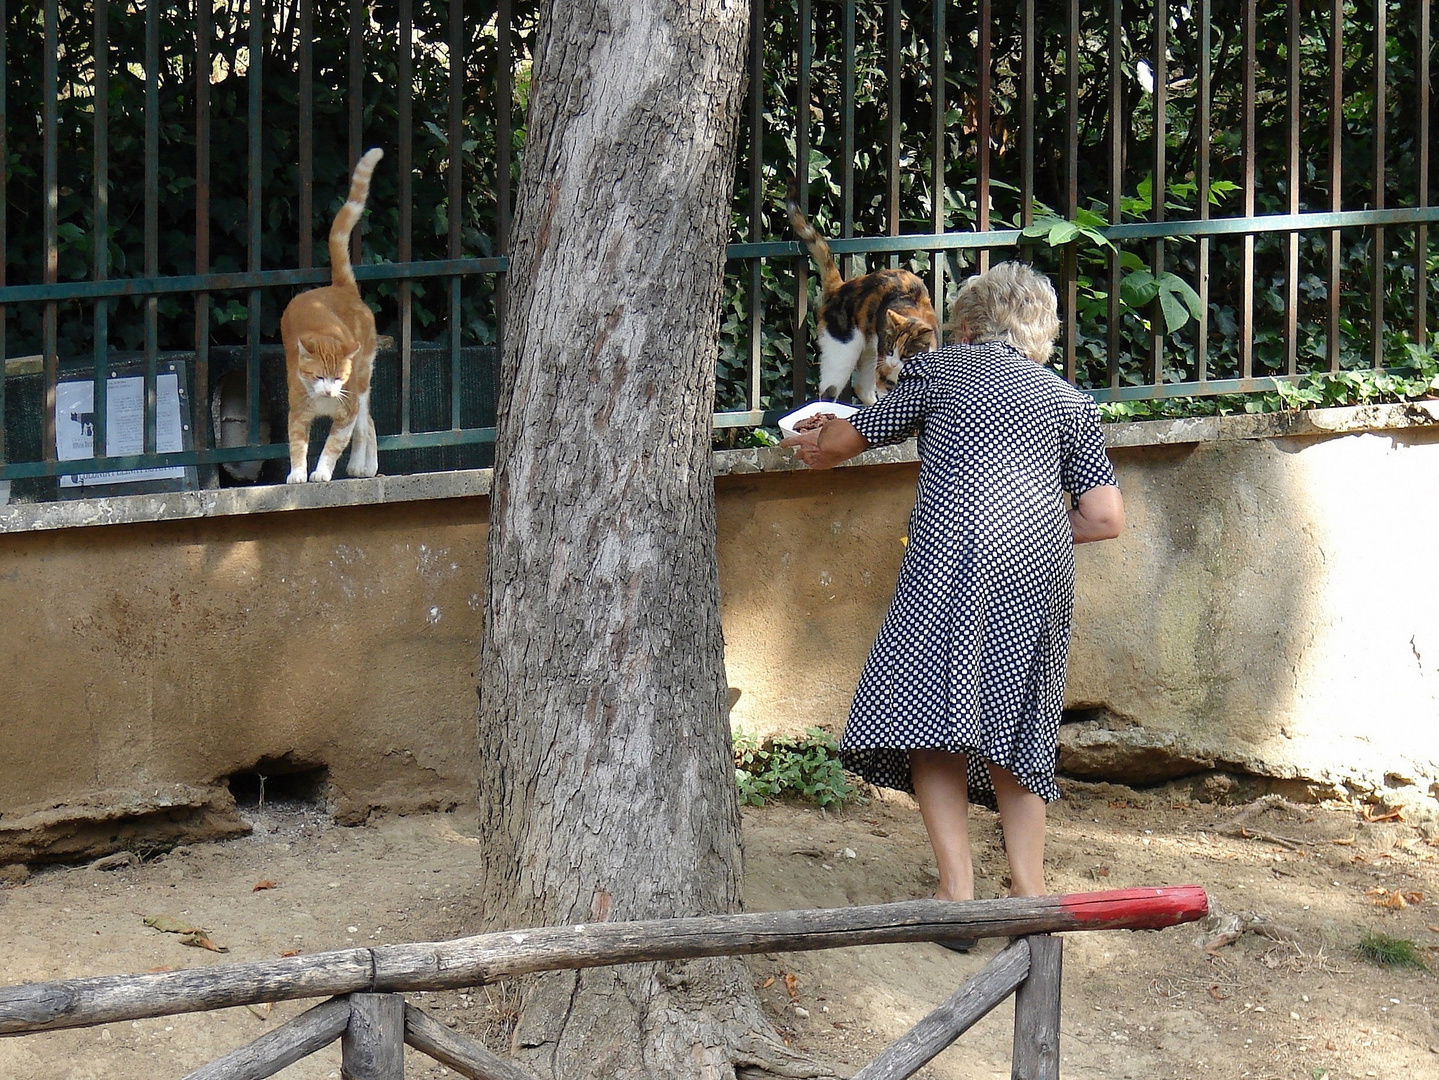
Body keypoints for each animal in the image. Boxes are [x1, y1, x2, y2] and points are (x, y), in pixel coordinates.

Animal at [279, 145, 382, 483]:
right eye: (318, 376)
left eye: (338, 377)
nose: (328, 389)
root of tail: (340, 287)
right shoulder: (297, 412)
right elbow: (297, 444)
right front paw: (298, 473)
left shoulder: (347, 412)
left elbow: (333, 446)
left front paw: (322, 472)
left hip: (362, 380)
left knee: (367, 424)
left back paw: (363, 467)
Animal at [794, 181, 938, 405]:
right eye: (890, 348)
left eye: (907, 355)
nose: (893, 363)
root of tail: (841, 286)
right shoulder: (884, 374)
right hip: (843, 352)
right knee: (829, 391)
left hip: (869, 353)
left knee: (861, 387)